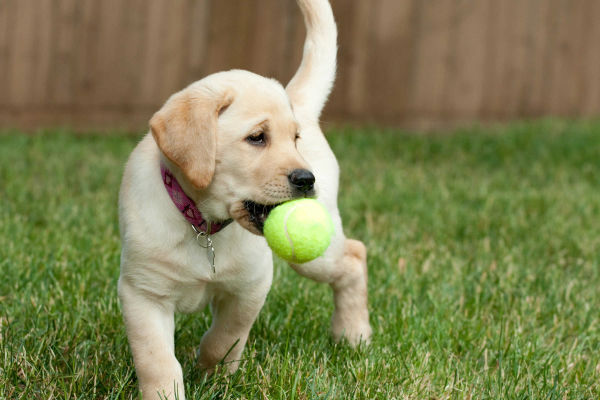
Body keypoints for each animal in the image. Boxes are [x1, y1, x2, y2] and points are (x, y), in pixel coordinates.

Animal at [117, 1, 370, 398]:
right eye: (257, 138)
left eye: (294, 139)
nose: (306, 179)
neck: (203, 225)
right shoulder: (143, 293)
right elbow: (157, 360)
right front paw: (167, 391)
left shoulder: (250, 286)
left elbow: (225, 338)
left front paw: (213, 373)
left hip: (316, 256)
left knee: (355, 256)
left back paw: (352, 334)